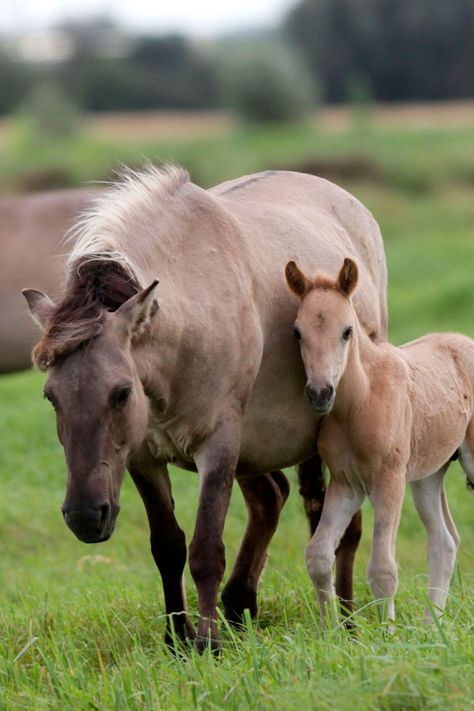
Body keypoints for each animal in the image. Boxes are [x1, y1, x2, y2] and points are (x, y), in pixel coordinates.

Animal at [24, 167, 386, 652]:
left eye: (121, 393)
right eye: (52, 396)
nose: (84, 516)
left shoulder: (219, 446)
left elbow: (206, 550)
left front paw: (208, 644)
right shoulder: (143, 457)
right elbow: (168, 546)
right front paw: (177, 638)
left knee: (341, 525)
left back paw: (344, 620)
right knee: (272, 499)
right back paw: (240, 605)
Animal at [286, 258, 474, 624]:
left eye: (347, 331)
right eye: (298, 332)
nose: (320, 393)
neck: (360, 401)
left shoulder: (389, 481)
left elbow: (383, 568)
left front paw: (388, 631)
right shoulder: (347, 484)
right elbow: (318, 555)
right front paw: (331, 629)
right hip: (429, 475)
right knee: (444, 540)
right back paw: (431, 626)